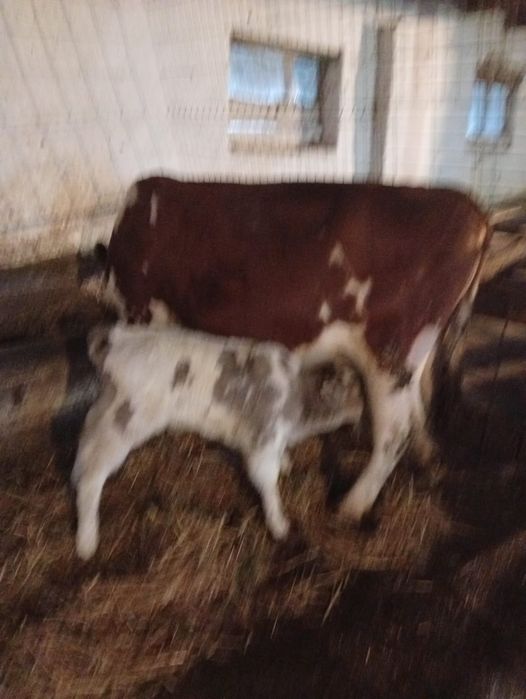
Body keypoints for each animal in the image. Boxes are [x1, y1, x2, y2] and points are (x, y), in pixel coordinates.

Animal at [72, 323, 363, 559]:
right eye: (353, 391)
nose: (364, 413)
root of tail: (116, 336)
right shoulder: (263, 438)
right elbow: (266, 481)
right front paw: (279, 525)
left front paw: (287, 463)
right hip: (123, 421)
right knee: (93, 474)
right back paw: (86, 542)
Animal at [95, 177, 490, 523]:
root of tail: (471, 210)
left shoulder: (142, 310)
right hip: (415, 352)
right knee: (419, 402)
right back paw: (424, 455)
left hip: (389, 350)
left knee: (395, 433)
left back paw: (351, 506)